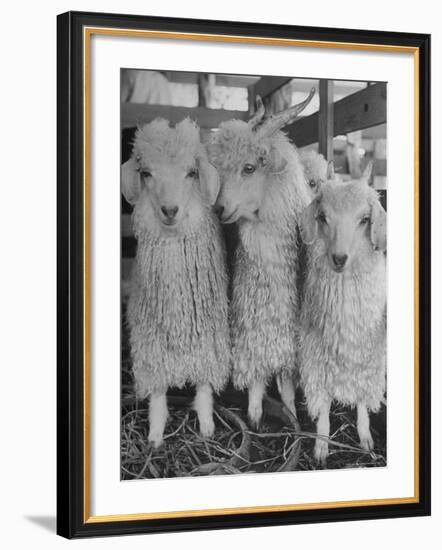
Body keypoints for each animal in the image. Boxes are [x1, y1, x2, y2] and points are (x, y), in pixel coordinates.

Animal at [121, 117, 231, 448]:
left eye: (191, 172)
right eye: (146, 173)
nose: (169, 211)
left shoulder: (210, 340)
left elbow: (205, 386)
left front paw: (207, 427)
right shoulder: (150, 344)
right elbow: (157, 393)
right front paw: (156, 435)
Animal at [208, 90, 314, 426]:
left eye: (250, 167)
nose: (219, 209)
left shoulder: (288, 335)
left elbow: (287, 382)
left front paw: (293, 417)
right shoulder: (250, 324)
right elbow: (255, 374)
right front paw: (255, 414)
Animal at [296, 164, 386, 466]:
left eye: (365, 219)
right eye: (323, 217)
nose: (339, 259)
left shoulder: (367, 358)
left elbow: (362, 400)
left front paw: (366, 440)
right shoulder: (315, 359)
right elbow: (323, 406)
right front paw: (321, 447)